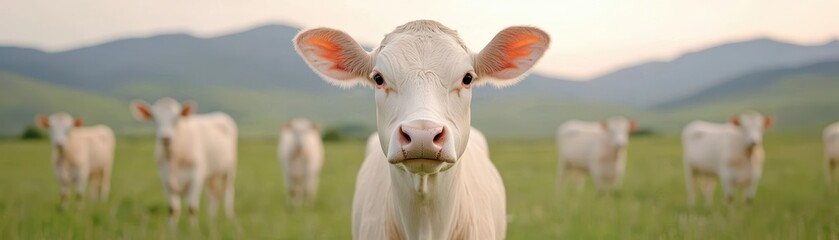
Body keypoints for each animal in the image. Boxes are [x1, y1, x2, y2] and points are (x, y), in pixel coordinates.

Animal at [130, 97, 240, 227]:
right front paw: (172, 229)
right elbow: (173, 209)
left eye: (176, 119)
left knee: (228, 194)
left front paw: (193, 229)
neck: (173, 160)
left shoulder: (196, 177)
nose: (166, 138)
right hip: (211, 174)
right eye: (155, 119)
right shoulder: (165, 180)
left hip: (229, 170)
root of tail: (220, 115)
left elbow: (192, 208)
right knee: (214, 195)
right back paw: (211, 220)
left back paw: (230, 219)